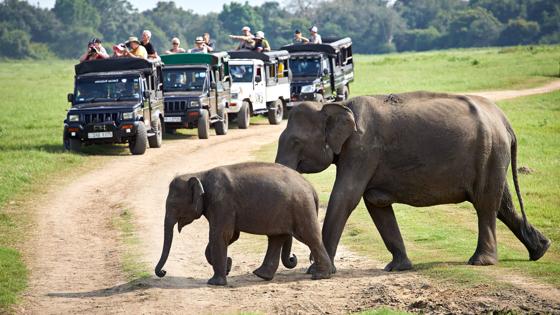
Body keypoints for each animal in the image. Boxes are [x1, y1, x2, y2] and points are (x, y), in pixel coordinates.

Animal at [153, 163, 332, 286]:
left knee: (310, 237)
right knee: (277, 238)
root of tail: (311, 188)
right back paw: (262, 275)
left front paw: (215, 282)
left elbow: (221, 234)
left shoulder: (221, 203)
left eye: (173, 205)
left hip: (301, 207)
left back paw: (321, 276)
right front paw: (228, 265)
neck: (200, 174)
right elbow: (231, 235)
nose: (163, 271)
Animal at [276, 92, 552, 272]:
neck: (338, 104)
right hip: (493, 155)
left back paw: (480, 262)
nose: (294, 259)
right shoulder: (363, 155)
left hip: (490, 151)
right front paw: (398, 267)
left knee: (485, 203)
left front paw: (317, 272)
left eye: (296, 142)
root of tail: (505, 121)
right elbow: (375, 204)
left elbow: (346, 197)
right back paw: (541, 250)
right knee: (502, 203)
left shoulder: (362, 149)